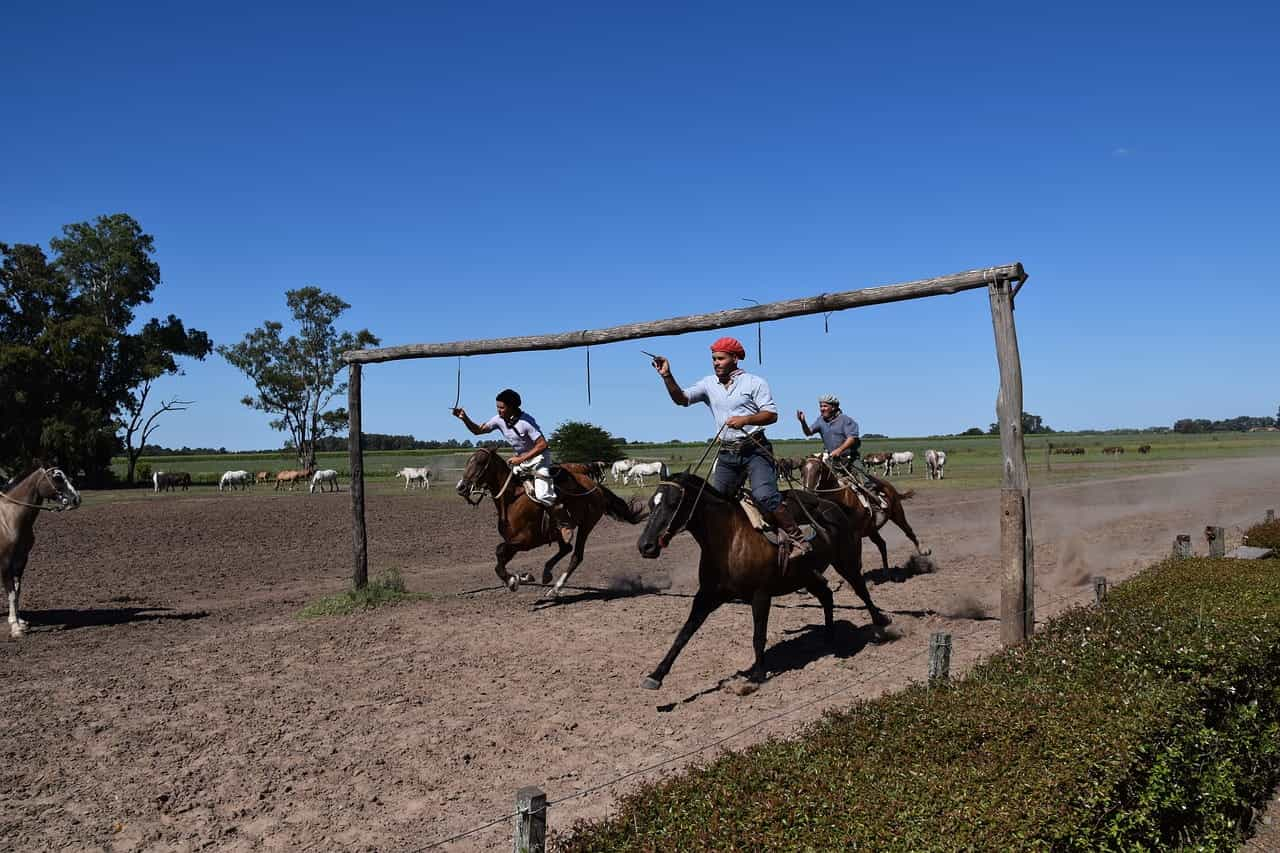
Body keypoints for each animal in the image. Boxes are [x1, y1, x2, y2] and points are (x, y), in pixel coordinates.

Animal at [453, 448, 650, 594]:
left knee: (576, 555)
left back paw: (556, 588)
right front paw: (521, 577)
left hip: (586, 525)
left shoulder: (525, 541)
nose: (461, 487)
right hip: (559, 531)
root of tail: (596, 486)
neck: (511, 500)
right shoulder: (513, 541)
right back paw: (547, 573)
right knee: (566, 548)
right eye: (468, 461)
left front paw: (513, 580)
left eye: (480, 462)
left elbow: (499, 551)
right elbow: (500, 558)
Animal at [632, 468, 890, 686]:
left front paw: (757, 675)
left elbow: (758, 635)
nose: (645, 545)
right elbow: (684, 633)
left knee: (861, 590)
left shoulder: (761, 596)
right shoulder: (707, 595)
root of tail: (834, 506)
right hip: (807, 576)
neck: (729, 538)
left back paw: (880, 624)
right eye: (651, 503)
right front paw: (656, 675)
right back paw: (828, 636)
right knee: (826, 595)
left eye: (674, 503)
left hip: (846, 562)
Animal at [798, 455, 931, 568]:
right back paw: (886, 571)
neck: (842, 499)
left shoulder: (856, 535)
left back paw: (924, 551)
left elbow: (857, 561)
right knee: (882, 544)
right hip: (871, 529)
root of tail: (888, 486)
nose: (808, 493)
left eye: (819, 470)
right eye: (802, 472)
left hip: (897, 514)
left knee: (908, 531)